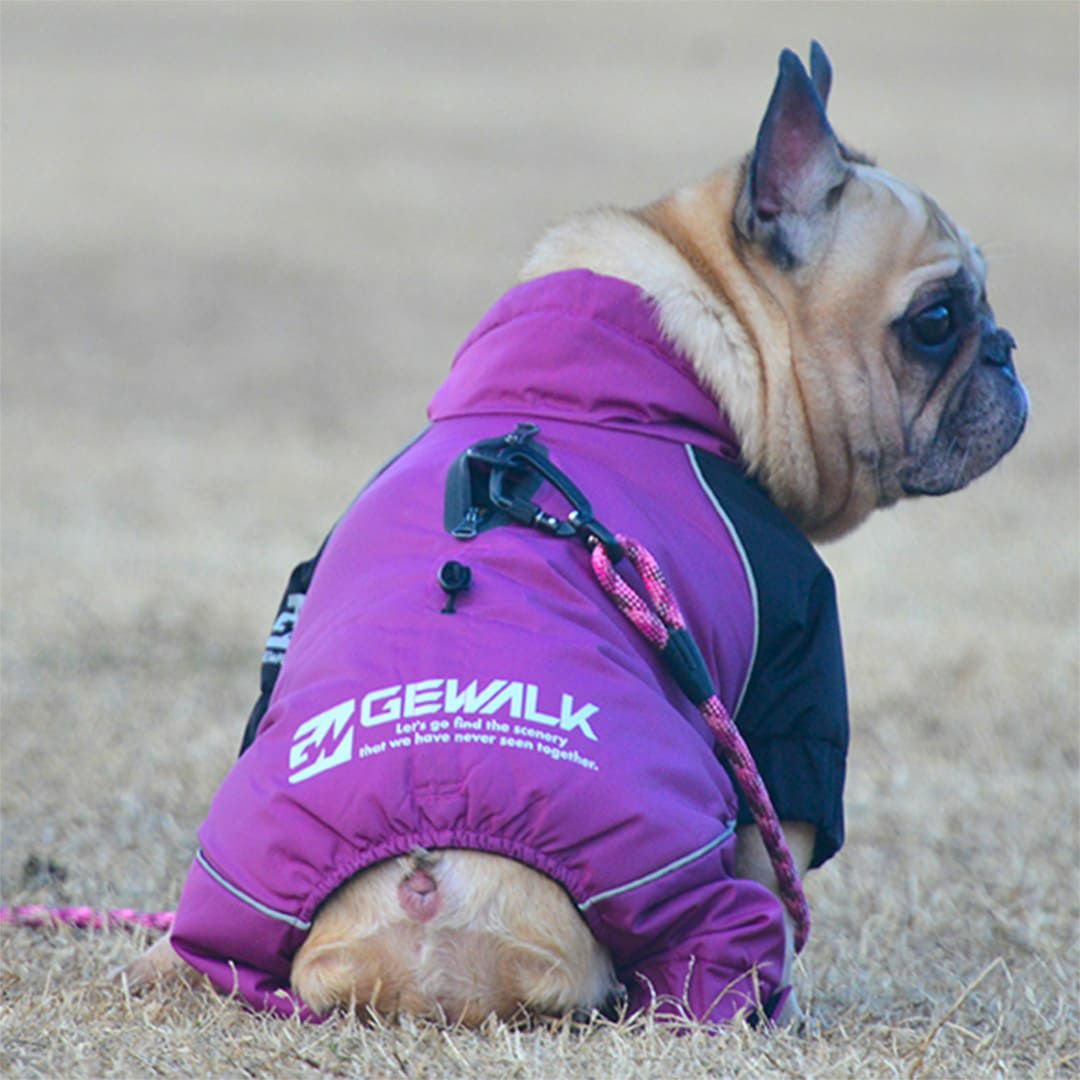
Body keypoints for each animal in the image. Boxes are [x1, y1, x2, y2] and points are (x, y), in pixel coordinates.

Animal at [123, 43, 1026, 1029]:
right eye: (937, 320)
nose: (1006, 348)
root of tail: (428, 883)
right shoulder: (792, 671)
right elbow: (783, 831)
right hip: (693, 906)